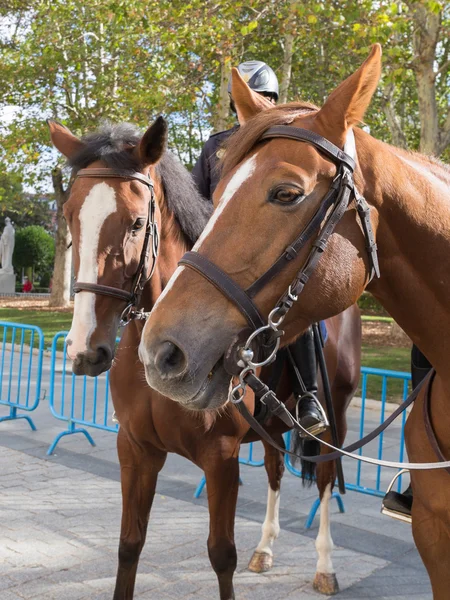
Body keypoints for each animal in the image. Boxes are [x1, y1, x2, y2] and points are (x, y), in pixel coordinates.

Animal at [47, 118, 360, 600]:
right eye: (69, 217)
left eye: (137, 222)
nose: (85, 350)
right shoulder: (135, 449)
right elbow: (129, 545)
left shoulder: (221, 458)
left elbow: (221, 555)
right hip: (272, 426)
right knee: (274, 471)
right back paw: (265, 549)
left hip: (334, 417)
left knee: (325, 480)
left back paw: (325, 566)